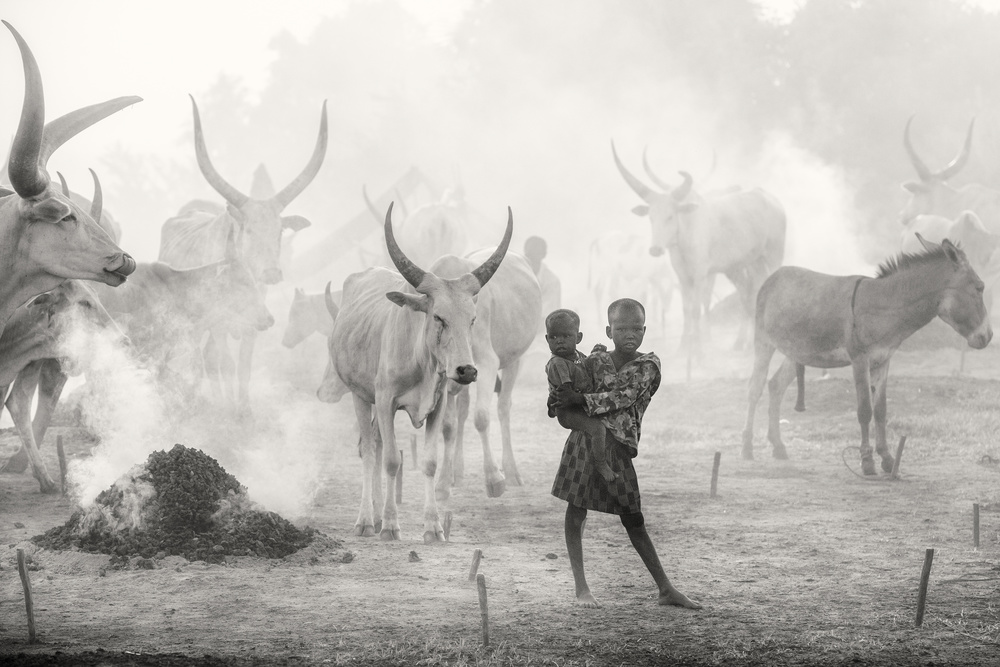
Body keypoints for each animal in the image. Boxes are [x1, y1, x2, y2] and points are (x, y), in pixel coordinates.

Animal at [158, 96, 327, 411]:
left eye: (280, 230)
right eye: (247, 229)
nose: (272, 273)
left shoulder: (255, 321)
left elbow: (244, 365)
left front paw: (245, 409)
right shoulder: (219, 322)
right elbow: (224, 362)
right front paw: (228, 408)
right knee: (204, 358)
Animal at [317, 203, 512, 542]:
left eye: (472, 319)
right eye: (438, 317)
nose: (466, 370)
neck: (421, 361)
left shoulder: (438, 405)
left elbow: (430, 462)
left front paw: (433, 527)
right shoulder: (385, 402)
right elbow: (391, 460)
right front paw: (391, 525)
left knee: (376, 444)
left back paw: (377, 515)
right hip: (360, 396)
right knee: (369, 450)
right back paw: (367, 520)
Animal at [431, 247, 541, 493]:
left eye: (471, 319)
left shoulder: (486, 363)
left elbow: (481, 417)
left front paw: (494, 478)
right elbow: (448, 425)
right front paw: (443, 481)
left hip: (513, 360)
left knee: (503, 407)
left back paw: (511, 472)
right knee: (463, 410)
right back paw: (457, 472)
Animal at [611, 142, 786, 354]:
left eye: (670, 216)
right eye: (651, 217)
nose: (655, 249)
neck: (685, 235)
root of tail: (773, 201)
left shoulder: (702, 274)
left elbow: (697, 308)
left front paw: (699, 348)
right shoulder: (682, 276)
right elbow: (687, 310)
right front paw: (683, 346)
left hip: (774, 254)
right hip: (743, 266)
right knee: (749, 294)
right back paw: (742, 343)